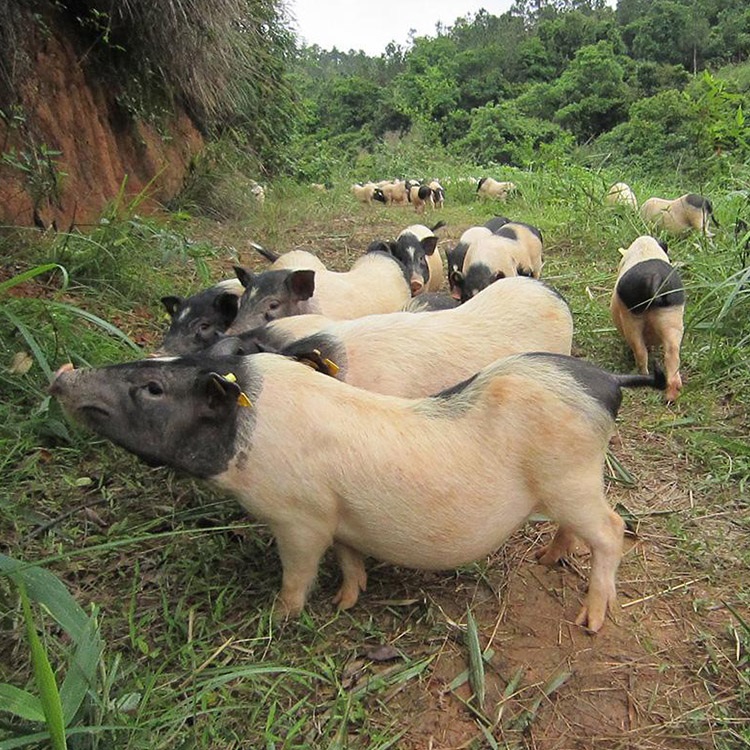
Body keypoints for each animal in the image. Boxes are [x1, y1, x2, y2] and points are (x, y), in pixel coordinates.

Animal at [50, 354, 668, 636]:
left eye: (153, 388)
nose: (62, 374)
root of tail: (607, 380)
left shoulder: (298, 518)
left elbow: (298, 570)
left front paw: (280, 617)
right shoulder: (337, 516)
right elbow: (349, 556)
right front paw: (346, 602)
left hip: (573, 477)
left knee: (613, 531)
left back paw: (592, 620)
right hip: (567, 485)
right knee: (578, 530)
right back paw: (546, 559)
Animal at [612, 236, 688, 406]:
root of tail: (654, 279)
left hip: (631, 317)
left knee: (640, 350)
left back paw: (643, 373)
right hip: (671, 316)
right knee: (672, 353)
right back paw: (671, 398)